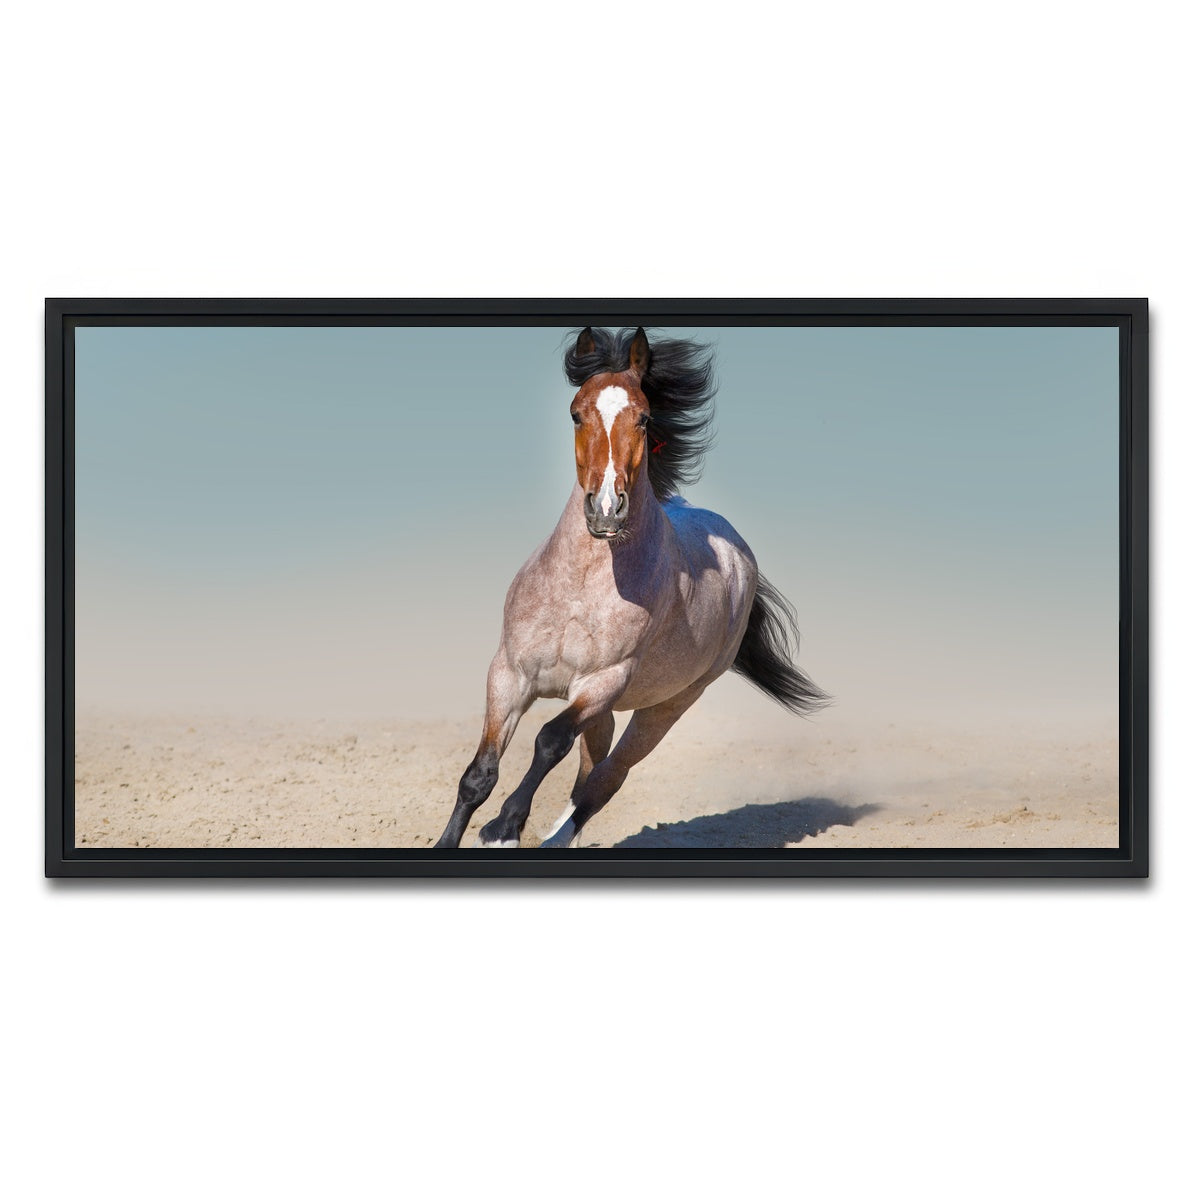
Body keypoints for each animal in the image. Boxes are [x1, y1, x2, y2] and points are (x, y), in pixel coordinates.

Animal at [434, 325, 828, 849]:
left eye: (643, 417)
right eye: (576, 413)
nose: (605, 509)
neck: (580, 589)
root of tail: (739, 556)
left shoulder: (603, 682)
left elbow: (549, 742)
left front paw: (503, 828)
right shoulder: (509, 674)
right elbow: (480, 774)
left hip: (666, 706)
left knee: (606, 778)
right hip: (605, 711)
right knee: (589, 772)